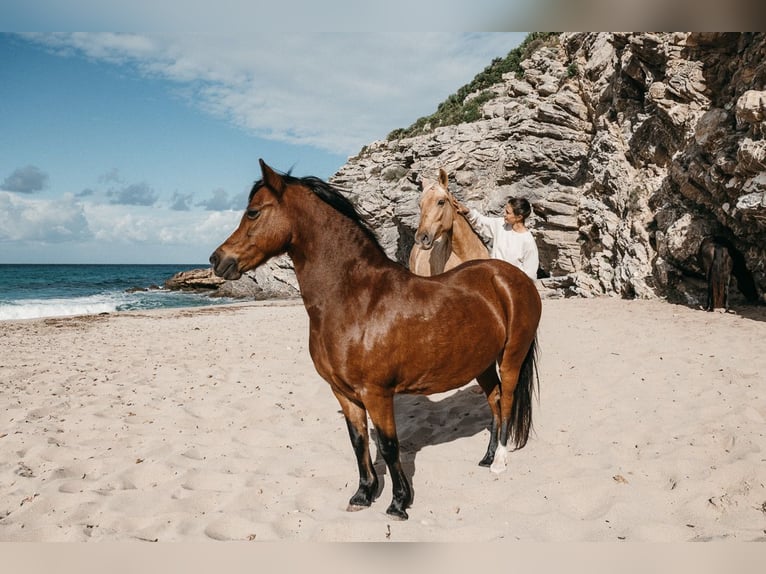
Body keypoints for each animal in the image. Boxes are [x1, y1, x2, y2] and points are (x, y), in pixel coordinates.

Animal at [210, 160, 542, 520]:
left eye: (253, 212)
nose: (217, 260)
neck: (355, 298)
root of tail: (512, 277)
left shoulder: (377, 393)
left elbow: (389, 445)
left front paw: (398, 502)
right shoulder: (344, 393)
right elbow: (359, 443)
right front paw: (363, 494)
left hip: (511, 357)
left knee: (506, 401)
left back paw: (500, 461)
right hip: (480, 363)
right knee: (494, 400)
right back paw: (487, 456)